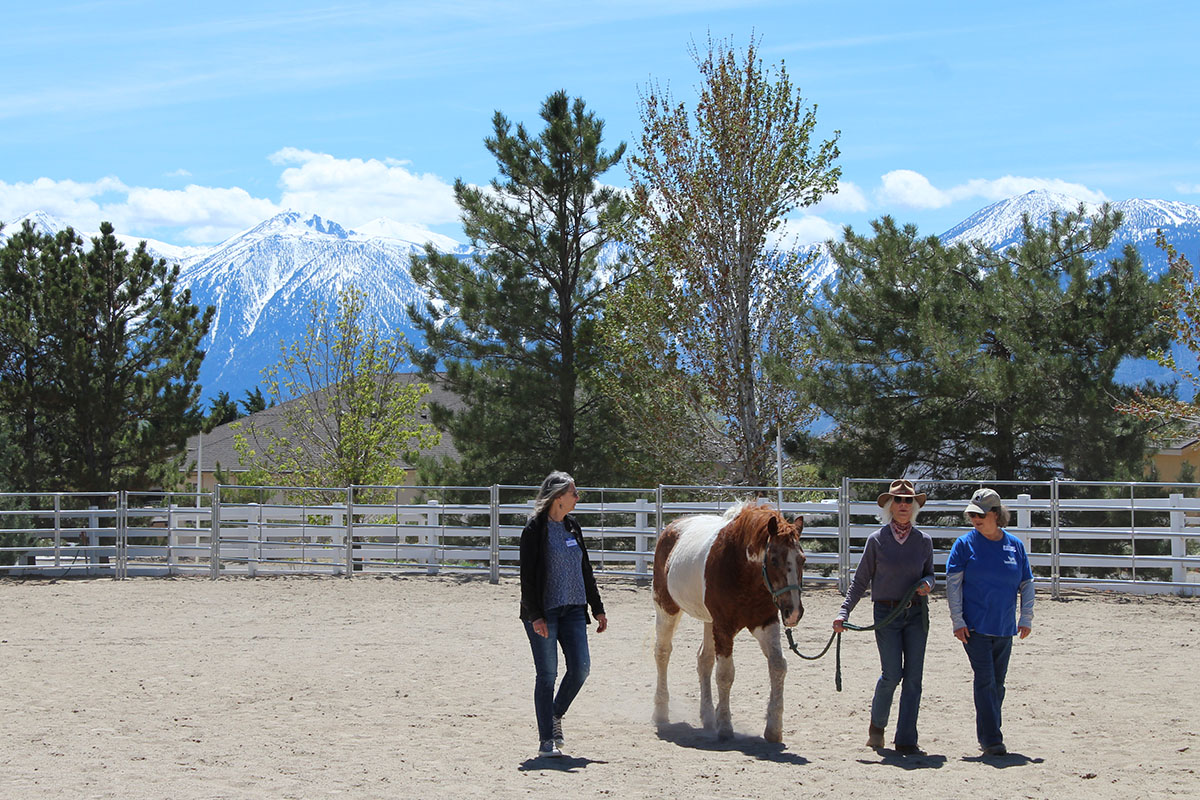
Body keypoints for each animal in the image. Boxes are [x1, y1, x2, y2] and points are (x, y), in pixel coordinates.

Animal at [652, 501, 806, 743]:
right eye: (774, 560)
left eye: (802, 559)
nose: (794, 612)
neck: (743, 570)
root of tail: (672, 527)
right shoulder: (723, 626)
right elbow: (725, 674)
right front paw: (725, 727)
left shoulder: (765, 622)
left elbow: (778, 665)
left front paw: (773, 728)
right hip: (666, 608)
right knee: (663, 652)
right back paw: (661, 712)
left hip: (708, 621)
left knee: (703, 660)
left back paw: (707, 717)